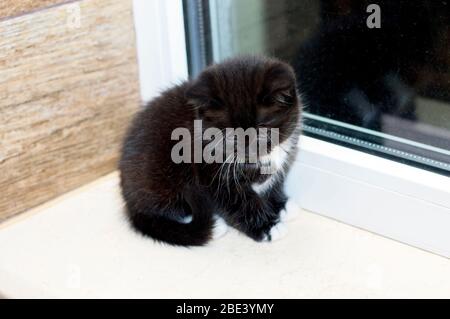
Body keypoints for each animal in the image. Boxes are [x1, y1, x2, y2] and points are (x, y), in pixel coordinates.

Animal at [119, 55, 302, 248]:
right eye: (230, 133)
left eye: (262, 129)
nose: (248, 148)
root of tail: (130, 203)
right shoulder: (209, 172)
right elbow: (238, 201)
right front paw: (268, 226)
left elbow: (273, 183)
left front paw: (281, 205)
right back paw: (215, 226)